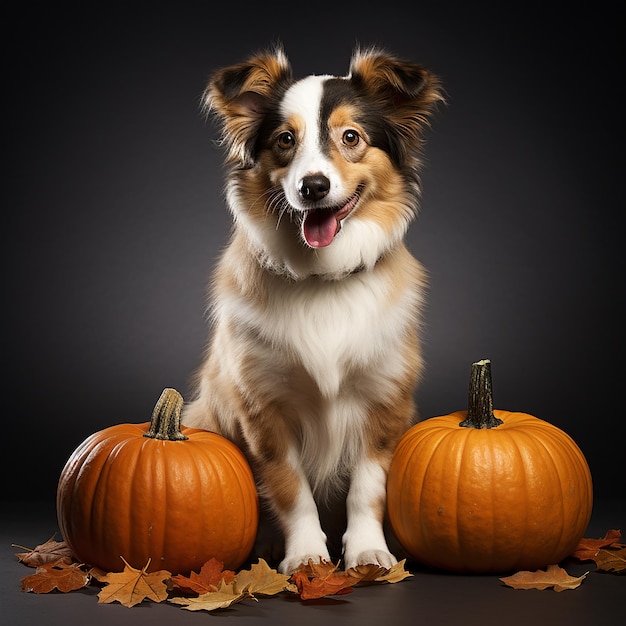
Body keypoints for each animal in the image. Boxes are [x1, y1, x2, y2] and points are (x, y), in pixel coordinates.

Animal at [183, 42, 442, 572]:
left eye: (351, 137)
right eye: (285, 140)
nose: (313, 187)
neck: (323, 279)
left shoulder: (383, 401)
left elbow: (368, 489)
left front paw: (367, 552)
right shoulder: (263, 409)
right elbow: (291, 488)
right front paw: (305, 557)